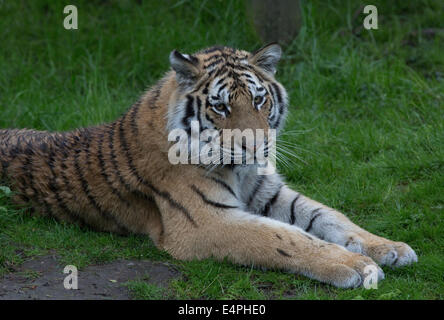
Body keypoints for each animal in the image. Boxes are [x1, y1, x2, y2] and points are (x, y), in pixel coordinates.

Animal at [0, 43, 416, 288]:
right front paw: (356, 266)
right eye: (221, 106)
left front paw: (388, 248)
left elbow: (329, 216)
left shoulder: (270, 191)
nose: (257, 145)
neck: (239, 168)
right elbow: (284, 238)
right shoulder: (204, 221)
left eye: (259, 100)